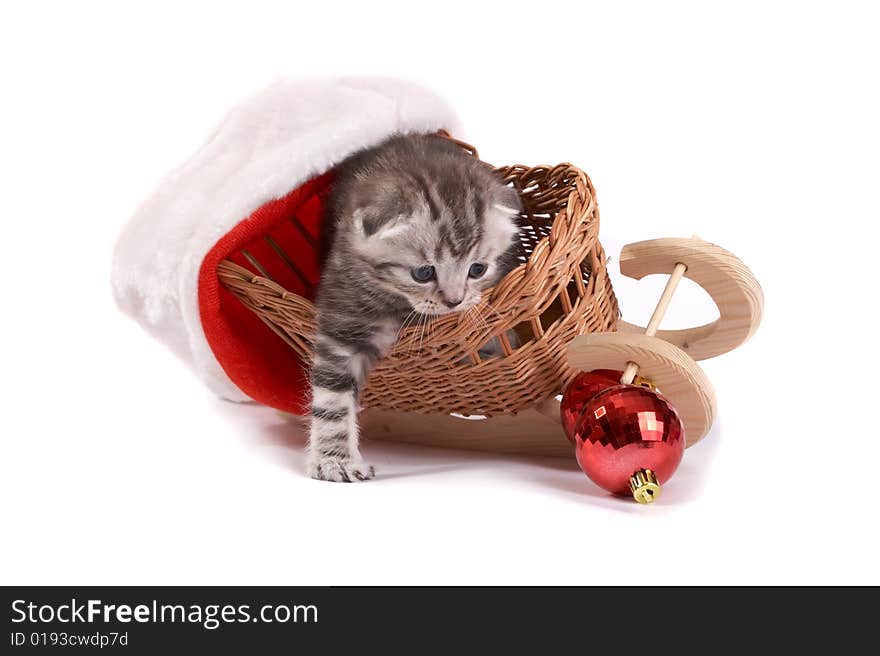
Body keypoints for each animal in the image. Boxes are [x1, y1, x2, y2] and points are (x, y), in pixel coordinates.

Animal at [306, 133, 520, 482]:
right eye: (423, 273)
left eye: (477, 269)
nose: (454, 301)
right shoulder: (345, 313)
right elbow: (331, 397)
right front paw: (335, 460)